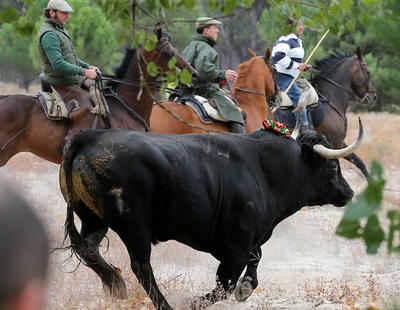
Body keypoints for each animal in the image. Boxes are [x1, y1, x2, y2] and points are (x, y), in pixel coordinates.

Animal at [59, 122, 362, 308]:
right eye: (332, 166)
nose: (348, 193)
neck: (264, 169)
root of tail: (89, 137)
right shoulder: (235, 246)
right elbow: (225, 283)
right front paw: (194, 302)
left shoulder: (249, 240)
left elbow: (254, 260)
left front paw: (246, 287)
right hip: (133, 226)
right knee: (142, 267)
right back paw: (162, 304)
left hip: (93, 218)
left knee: (89, 249)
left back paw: (116, 284)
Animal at [274, 46, 376, 177]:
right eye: (367, 72)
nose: (374, 96)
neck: (330, 97)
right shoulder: (334, 143)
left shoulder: (339, 143)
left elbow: (360, 163)